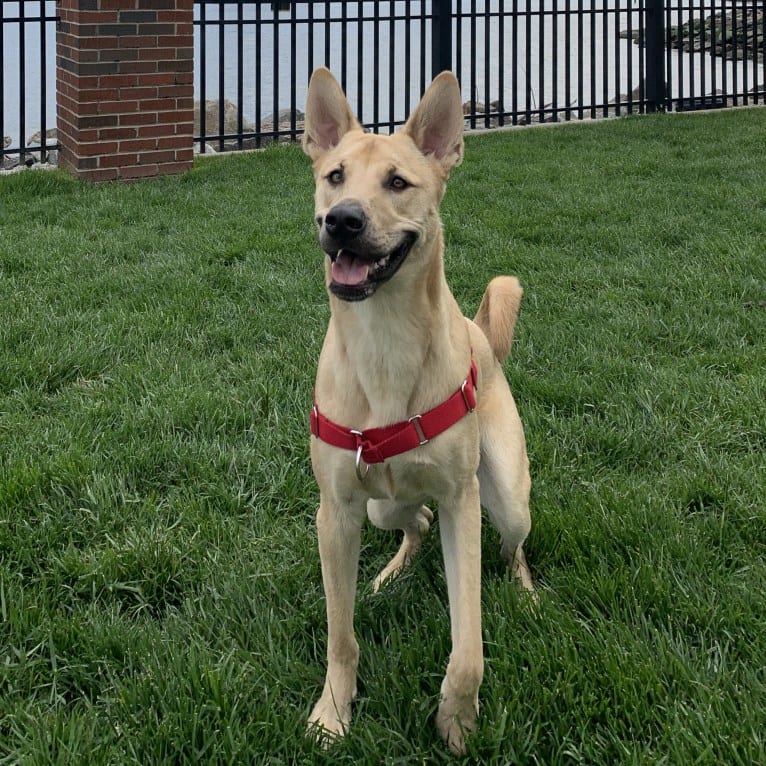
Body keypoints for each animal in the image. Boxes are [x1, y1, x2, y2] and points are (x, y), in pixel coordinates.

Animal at [300, 66, 536, 756]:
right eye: (335, 176)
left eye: (398, 183)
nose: (343, 221)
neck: (385, 340)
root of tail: (481, 331)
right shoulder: (336, 512)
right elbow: (341, 635)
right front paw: (334, 711)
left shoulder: (463, 501)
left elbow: (470, 645)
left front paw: (457, 720)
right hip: (381, 505)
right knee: (416, 523)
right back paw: (389, 577)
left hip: (505, 495)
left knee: (512, 548)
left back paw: (525, 597)